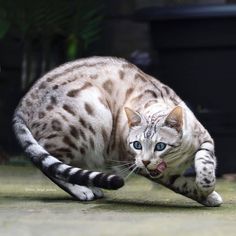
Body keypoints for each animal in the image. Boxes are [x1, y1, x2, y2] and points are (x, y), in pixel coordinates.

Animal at [12, 56, 223, 206]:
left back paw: (93, 187)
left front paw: (206, 186)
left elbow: (205, 161)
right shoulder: (138, 164)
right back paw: (82, 190)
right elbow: (184, 185)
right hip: (89, 117)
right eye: (136, 145)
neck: (175, 160)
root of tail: (22, 104)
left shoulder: (205, 138)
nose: (146, 161)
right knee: (48, 162)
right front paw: (207, 193)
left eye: (160, 146)